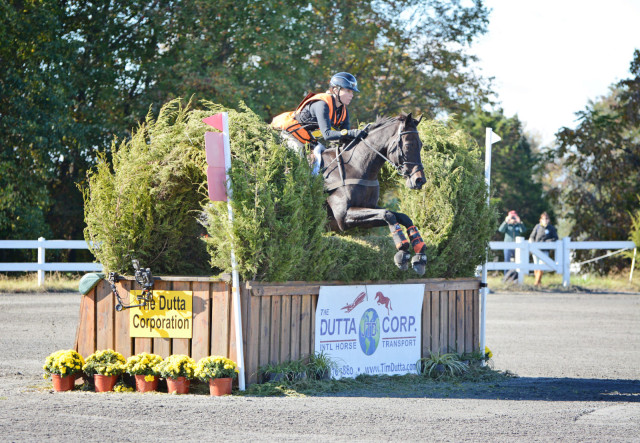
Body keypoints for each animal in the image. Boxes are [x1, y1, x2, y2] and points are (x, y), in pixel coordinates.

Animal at [322, 114, 428, 274]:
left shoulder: (369, 209)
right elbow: (388, 215)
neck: (356, 166)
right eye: (408, 145)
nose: (420, 180)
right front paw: (403, 251)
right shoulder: (343, 217)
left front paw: (420, 254)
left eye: (421, 145)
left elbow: (402, 217)